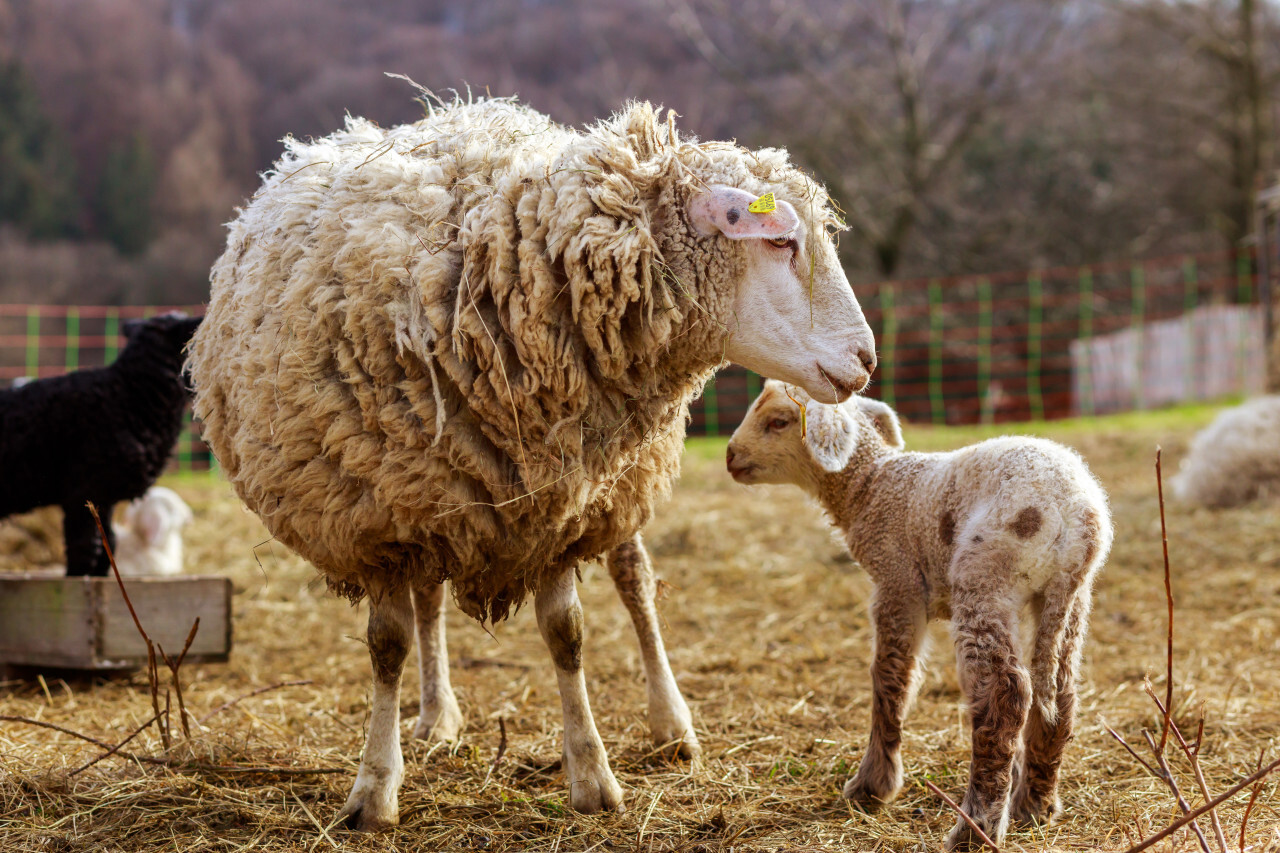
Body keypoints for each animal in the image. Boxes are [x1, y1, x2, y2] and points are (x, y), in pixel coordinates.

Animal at [183, 96, 880, 824]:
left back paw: (671, 722)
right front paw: (375, 787)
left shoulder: (561, 508)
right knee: (428, 601)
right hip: (435, 494)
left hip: (609, 489)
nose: (867, 360)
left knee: (634, 580)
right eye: (780, 241)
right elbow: (387, 646)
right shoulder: (380, 519)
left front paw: (592, 775)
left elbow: (566, 634)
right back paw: (436, 716)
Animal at [732, 381, 1111, 845]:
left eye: (778, 421)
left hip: (984, 576)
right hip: (1067, 599)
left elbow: (890, 679)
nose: (730, 456)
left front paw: (872, 786)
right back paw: (1034, 805)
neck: (870, 485)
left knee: (1004, 695)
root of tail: (1077, 515)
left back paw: (975, 829)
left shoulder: (898, 585)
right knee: (1059, 691)